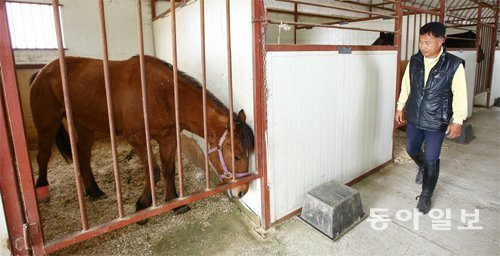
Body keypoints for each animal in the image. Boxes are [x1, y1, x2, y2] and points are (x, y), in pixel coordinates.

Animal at [29, 56, 254, 214]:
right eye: (236, 156)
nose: (242, 191)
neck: (162, 94)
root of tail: (41, 71)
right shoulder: (137, 139)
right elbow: (153, 171)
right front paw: (143, 205)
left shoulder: (168, 138)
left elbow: (168, 170)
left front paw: (175, 203)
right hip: (47, 125)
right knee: (43, 156)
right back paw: (42, 190)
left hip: (85, 127)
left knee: (83, 158)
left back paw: (94, 191)